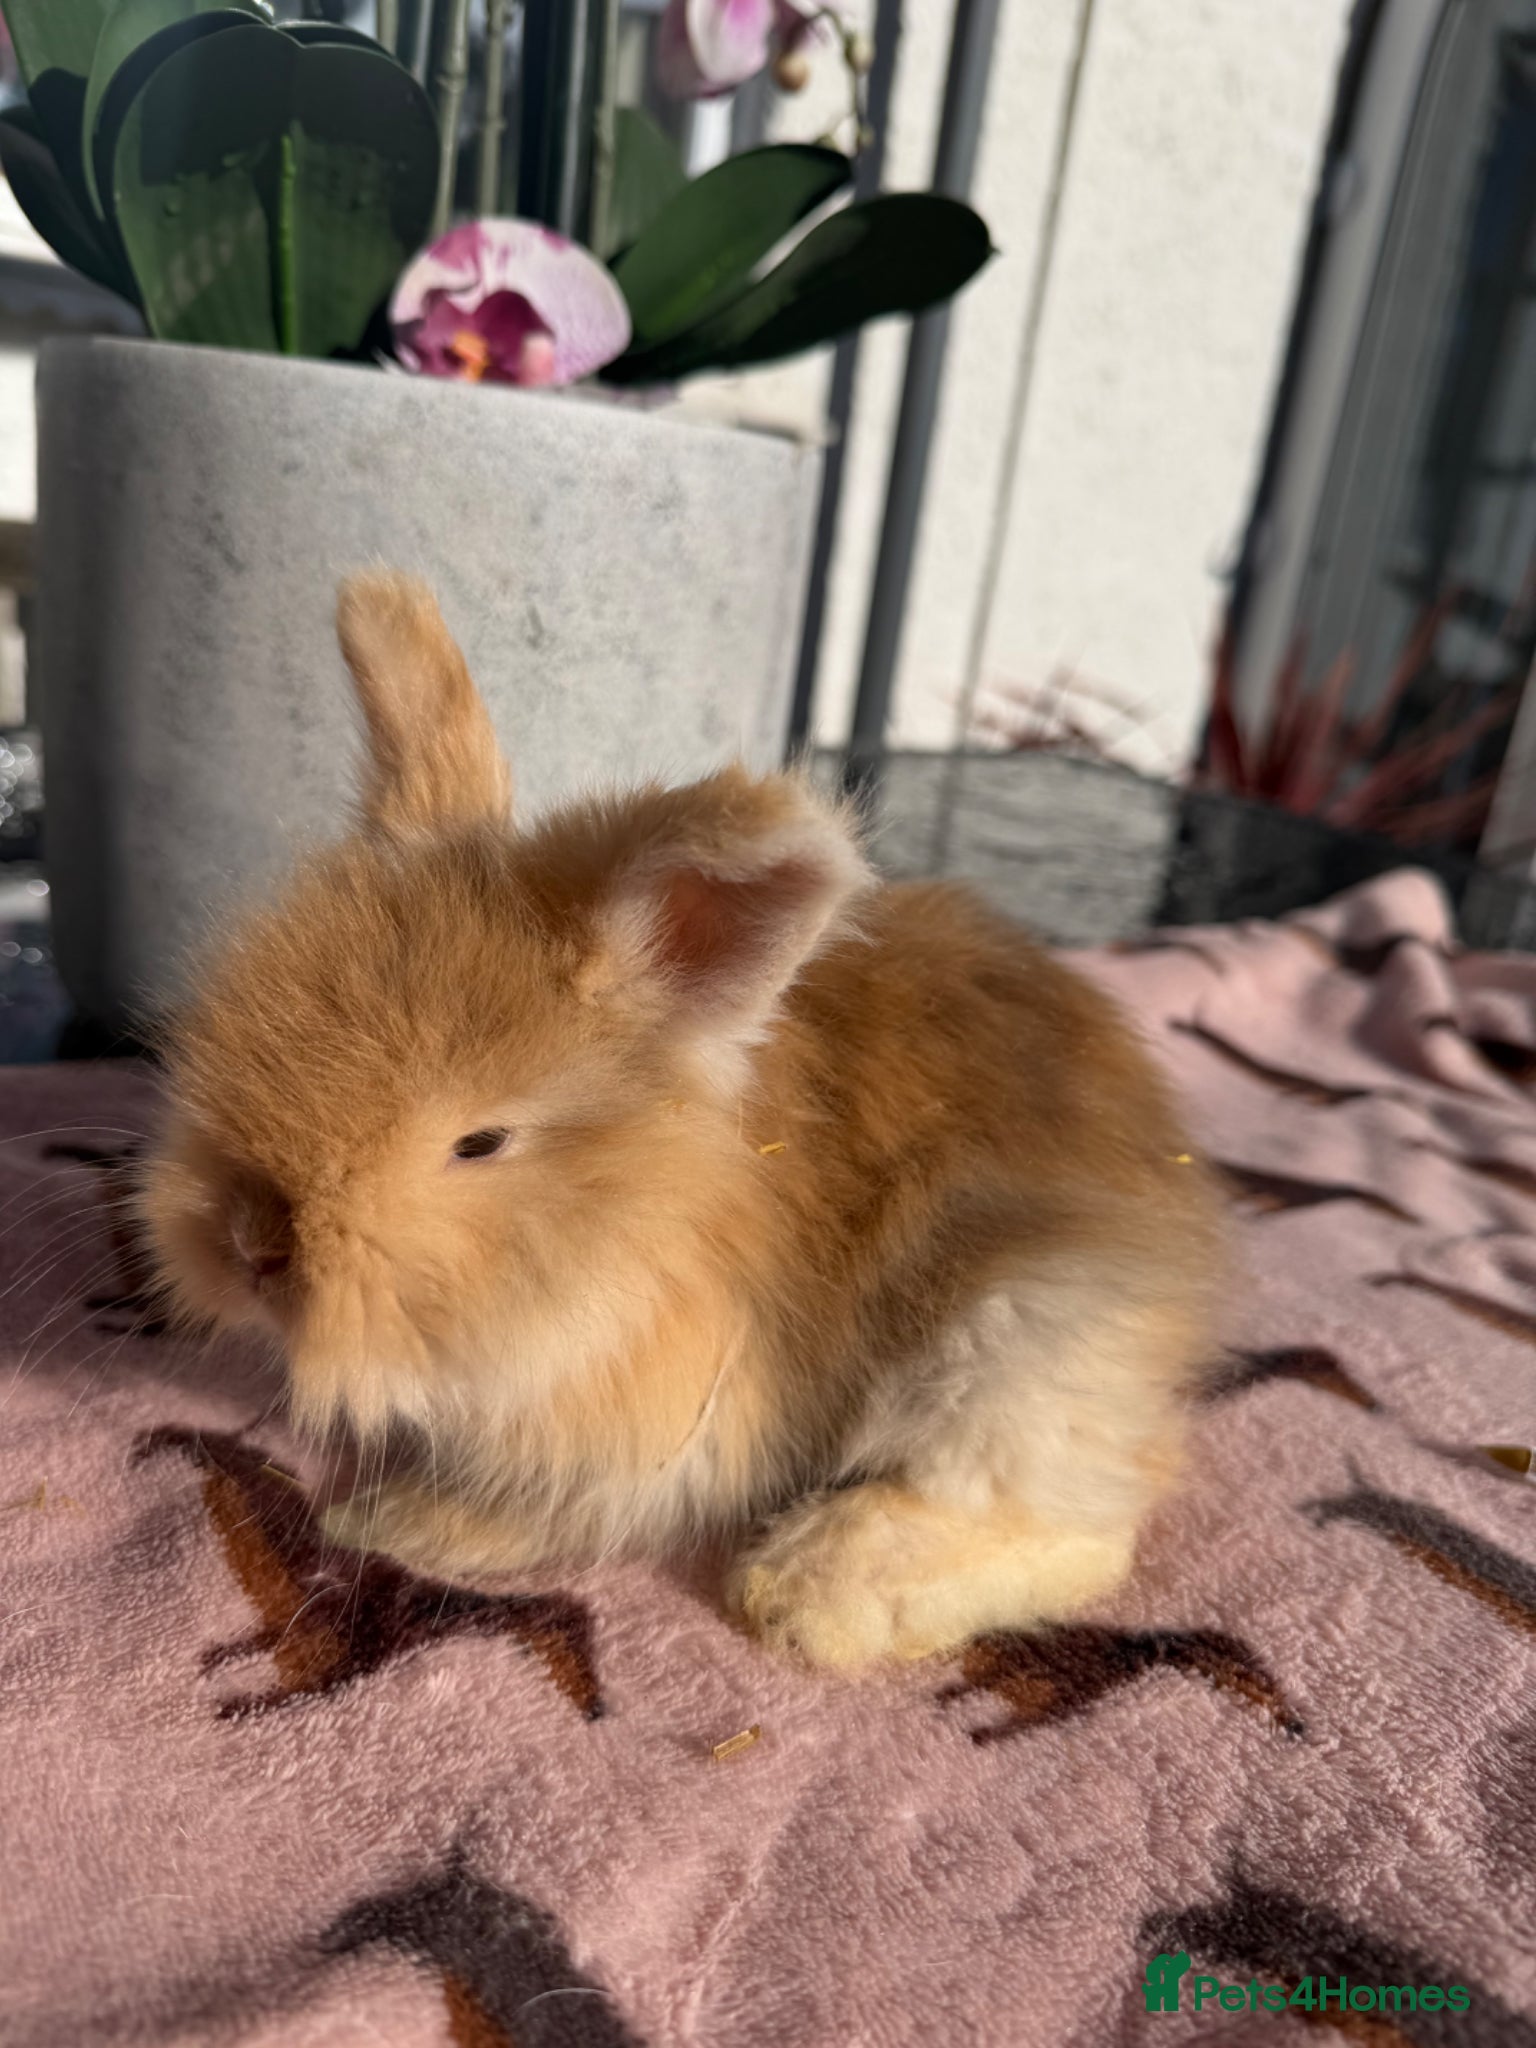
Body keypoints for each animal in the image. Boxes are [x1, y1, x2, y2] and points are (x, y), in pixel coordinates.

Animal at [139, 570, 1224, 1672]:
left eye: (480, 1143)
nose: (251, 1245)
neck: (640, 1227)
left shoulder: (655, 1429)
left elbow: (547, 1514)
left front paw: (391, 1521)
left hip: (1017, 1337)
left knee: (1072, 1526)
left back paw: (810, 1591)